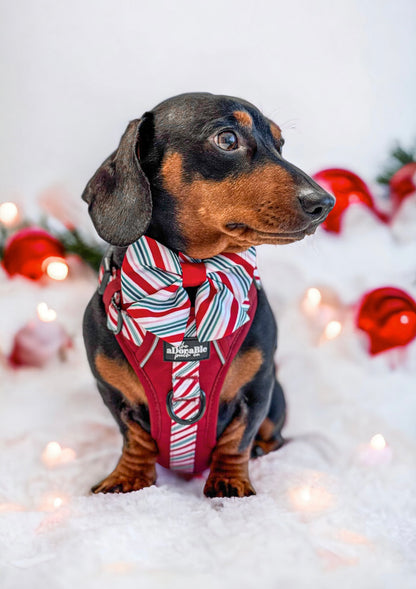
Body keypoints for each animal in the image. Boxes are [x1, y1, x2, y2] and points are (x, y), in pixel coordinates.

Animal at [82, 92, 334, 496]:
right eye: (227, 139)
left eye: (280, 143)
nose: (324, 203)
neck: (190, 273)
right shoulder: (113, 394)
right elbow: (134, 437)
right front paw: (128, 478)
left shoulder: (257, 389)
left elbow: (238, 438)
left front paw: (230, 482)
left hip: (278, 397)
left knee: (273, 435)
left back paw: (263, 449)